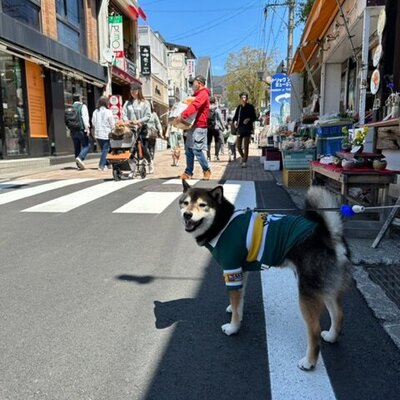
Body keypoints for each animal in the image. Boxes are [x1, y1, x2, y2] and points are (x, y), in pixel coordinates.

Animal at [180, 182, 352, 372]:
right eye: (185, 203)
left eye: (202, 205)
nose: (187, 214)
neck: (222, 223)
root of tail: (329, 236)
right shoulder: (240, 271)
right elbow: (239, 299)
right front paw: (236, 311)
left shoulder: (231, 270)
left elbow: (235, 301)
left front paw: (233, 327)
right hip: (326, 288)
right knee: (339, 315)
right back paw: (331, 336)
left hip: (307, 293)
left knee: (314, 331)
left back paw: (309, 362)